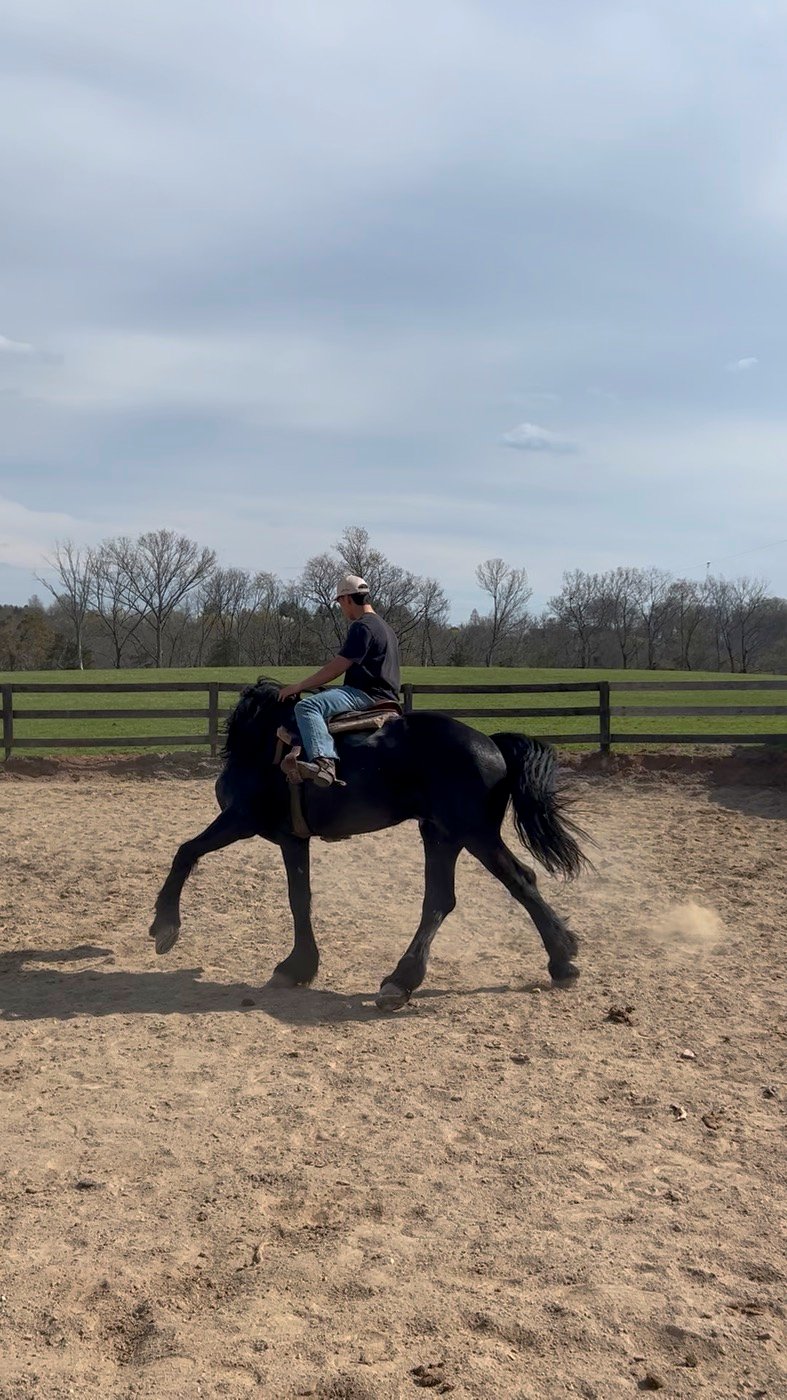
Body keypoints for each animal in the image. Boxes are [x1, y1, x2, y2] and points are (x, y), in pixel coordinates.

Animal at [149, 678, 588, 1011]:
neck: (262, 744)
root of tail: (492, 744)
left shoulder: (240, 820)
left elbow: (185, 852)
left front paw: (165, 926)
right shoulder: (293, 839)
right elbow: (300, 899)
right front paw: (298, 967)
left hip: (473, 835)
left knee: (515, 882)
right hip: (441, 836)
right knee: (449, 898)